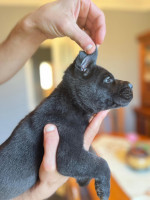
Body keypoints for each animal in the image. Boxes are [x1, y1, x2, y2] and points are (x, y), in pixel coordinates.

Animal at [0, 48, 132, 200]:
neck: (71, 102)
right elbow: (102, 163)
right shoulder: (68, 155)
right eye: (108, 79)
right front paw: (104, 189)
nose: (131, 85)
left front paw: (84, 179)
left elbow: (92, 153)